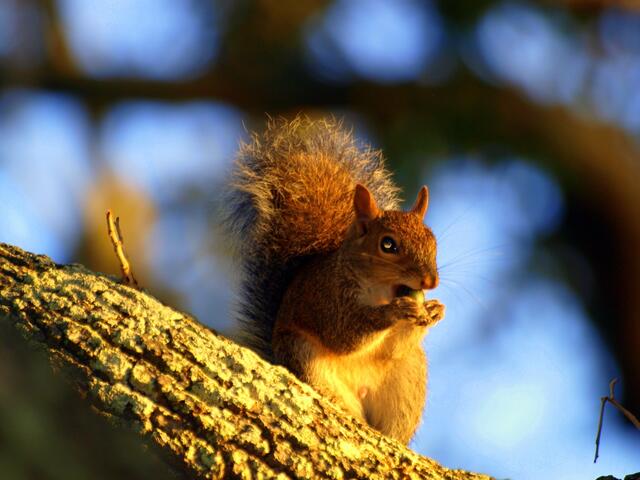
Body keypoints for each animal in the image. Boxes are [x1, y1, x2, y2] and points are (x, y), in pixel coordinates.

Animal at [223, 116, 445, 445]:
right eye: (388, 244)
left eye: (433, 241)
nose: (430, 282)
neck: (378, 289)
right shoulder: (327, 298)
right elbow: (343, 336)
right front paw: (395, 312)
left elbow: (393, 347)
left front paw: (433, 310)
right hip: (305, 358)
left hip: (408, 378)